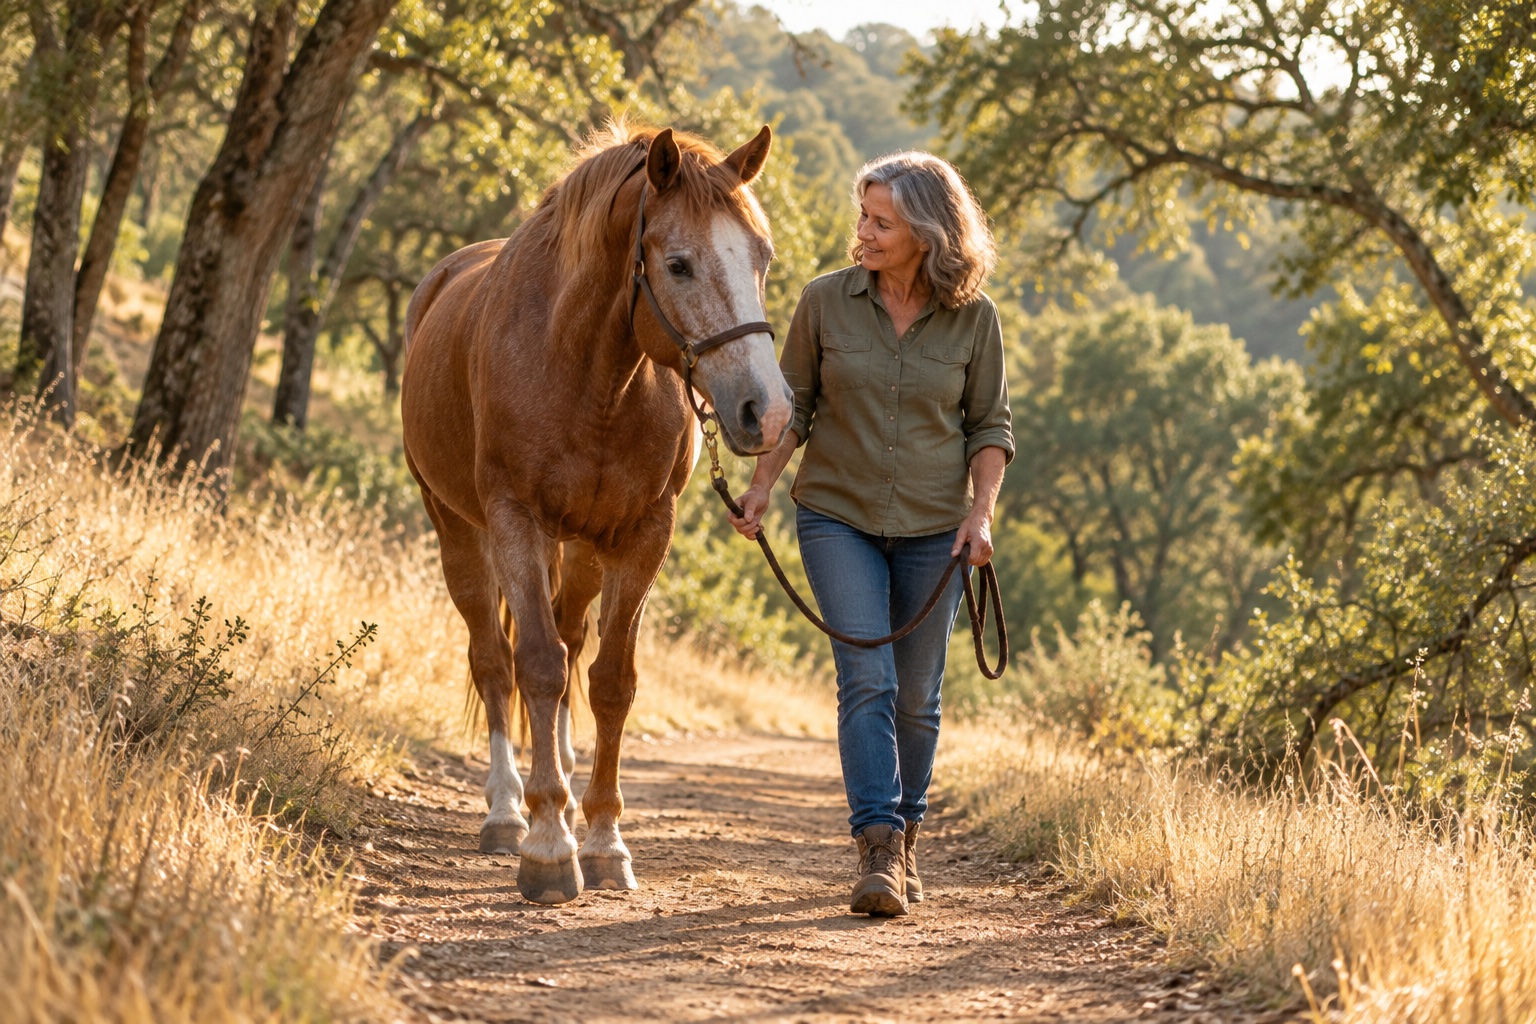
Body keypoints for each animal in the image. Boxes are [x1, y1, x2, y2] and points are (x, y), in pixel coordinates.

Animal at [400, 122, 793, 905]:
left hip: (580, 549)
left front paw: (605, 838)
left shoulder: (642, 536)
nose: (766, 414)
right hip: (459, 530)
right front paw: (550, 845)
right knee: (496, 660)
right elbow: (537, 666)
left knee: (569, 638)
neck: (587, 370)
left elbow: (610, 681)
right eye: (678, 264)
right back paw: (507, 811)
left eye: (761, 257)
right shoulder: (515, 521)